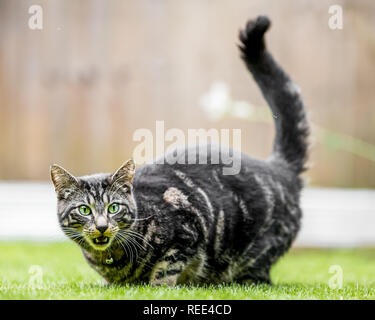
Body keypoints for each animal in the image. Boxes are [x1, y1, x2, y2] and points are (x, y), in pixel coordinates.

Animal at [51, 16, 310, 284]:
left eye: (114, 207)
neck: (112, 260)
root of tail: (278, 168)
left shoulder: (186, 233)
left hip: (255, 257)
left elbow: (166, 270)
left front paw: (159, 284)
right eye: (84, 209)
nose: (102, 225)